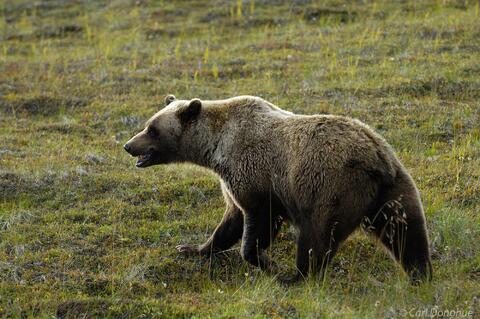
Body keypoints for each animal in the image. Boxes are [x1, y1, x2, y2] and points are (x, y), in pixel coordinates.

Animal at [125, 95, 434, 284]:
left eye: (152, 129)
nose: (129, 146)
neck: (216, 147)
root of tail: (375, 158)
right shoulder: (232, 184)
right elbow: (229, 223)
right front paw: (192, 247)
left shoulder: (256, 177)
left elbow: (256, 222)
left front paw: (265, 262)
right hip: (394, 190)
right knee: (407, 232)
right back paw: (420, 274)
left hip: (330, 189)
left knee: (316, 237)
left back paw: (296, 277)